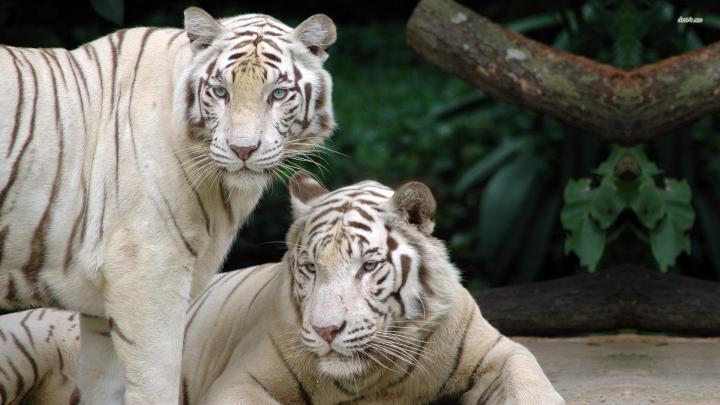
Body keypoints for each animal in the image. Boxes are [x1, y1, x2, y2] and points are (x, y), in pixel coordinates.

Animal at [0, 6, 336, 404]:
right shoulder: (148, 276)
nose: (242, 150)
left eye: (278, 93)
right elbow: (156, 383)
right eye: (220, 92)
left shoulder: (100, 310)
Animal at [0, 172, 564, 405]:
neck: (378, 380)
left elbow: (531, 382)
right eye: (310, 268)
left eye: (368, 266)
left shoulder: (499, 351)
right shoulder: (241, 381)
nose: (327, 330)